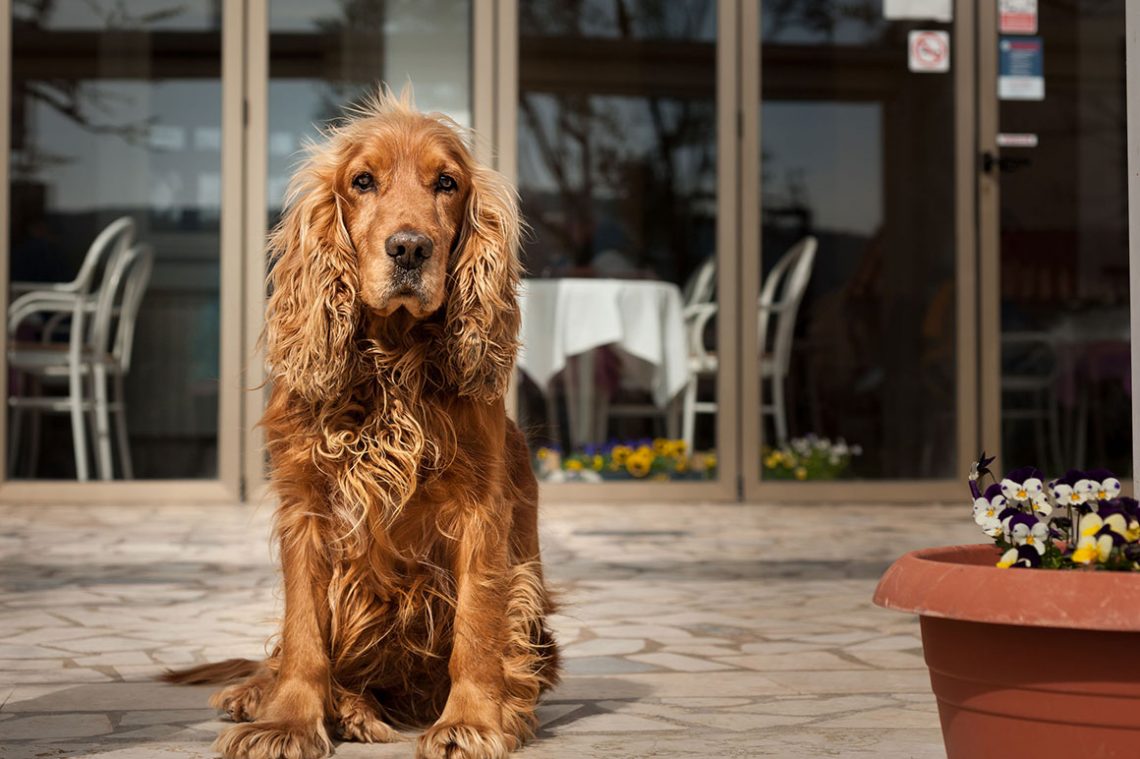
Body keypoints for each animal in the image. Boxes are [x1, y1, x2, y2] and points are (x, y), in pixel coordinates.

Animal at [166, 92, 560, 756]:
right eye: (362, 181)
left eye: (447, 183)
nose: (409, 248)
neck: (392, 365)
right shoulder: (306, 507)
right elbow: (304, 633)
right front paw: (289, 722)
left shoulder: (481, 510)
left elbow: (477, 626)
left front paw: (473, 721)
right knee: (287, 657)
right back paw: (284, 698)